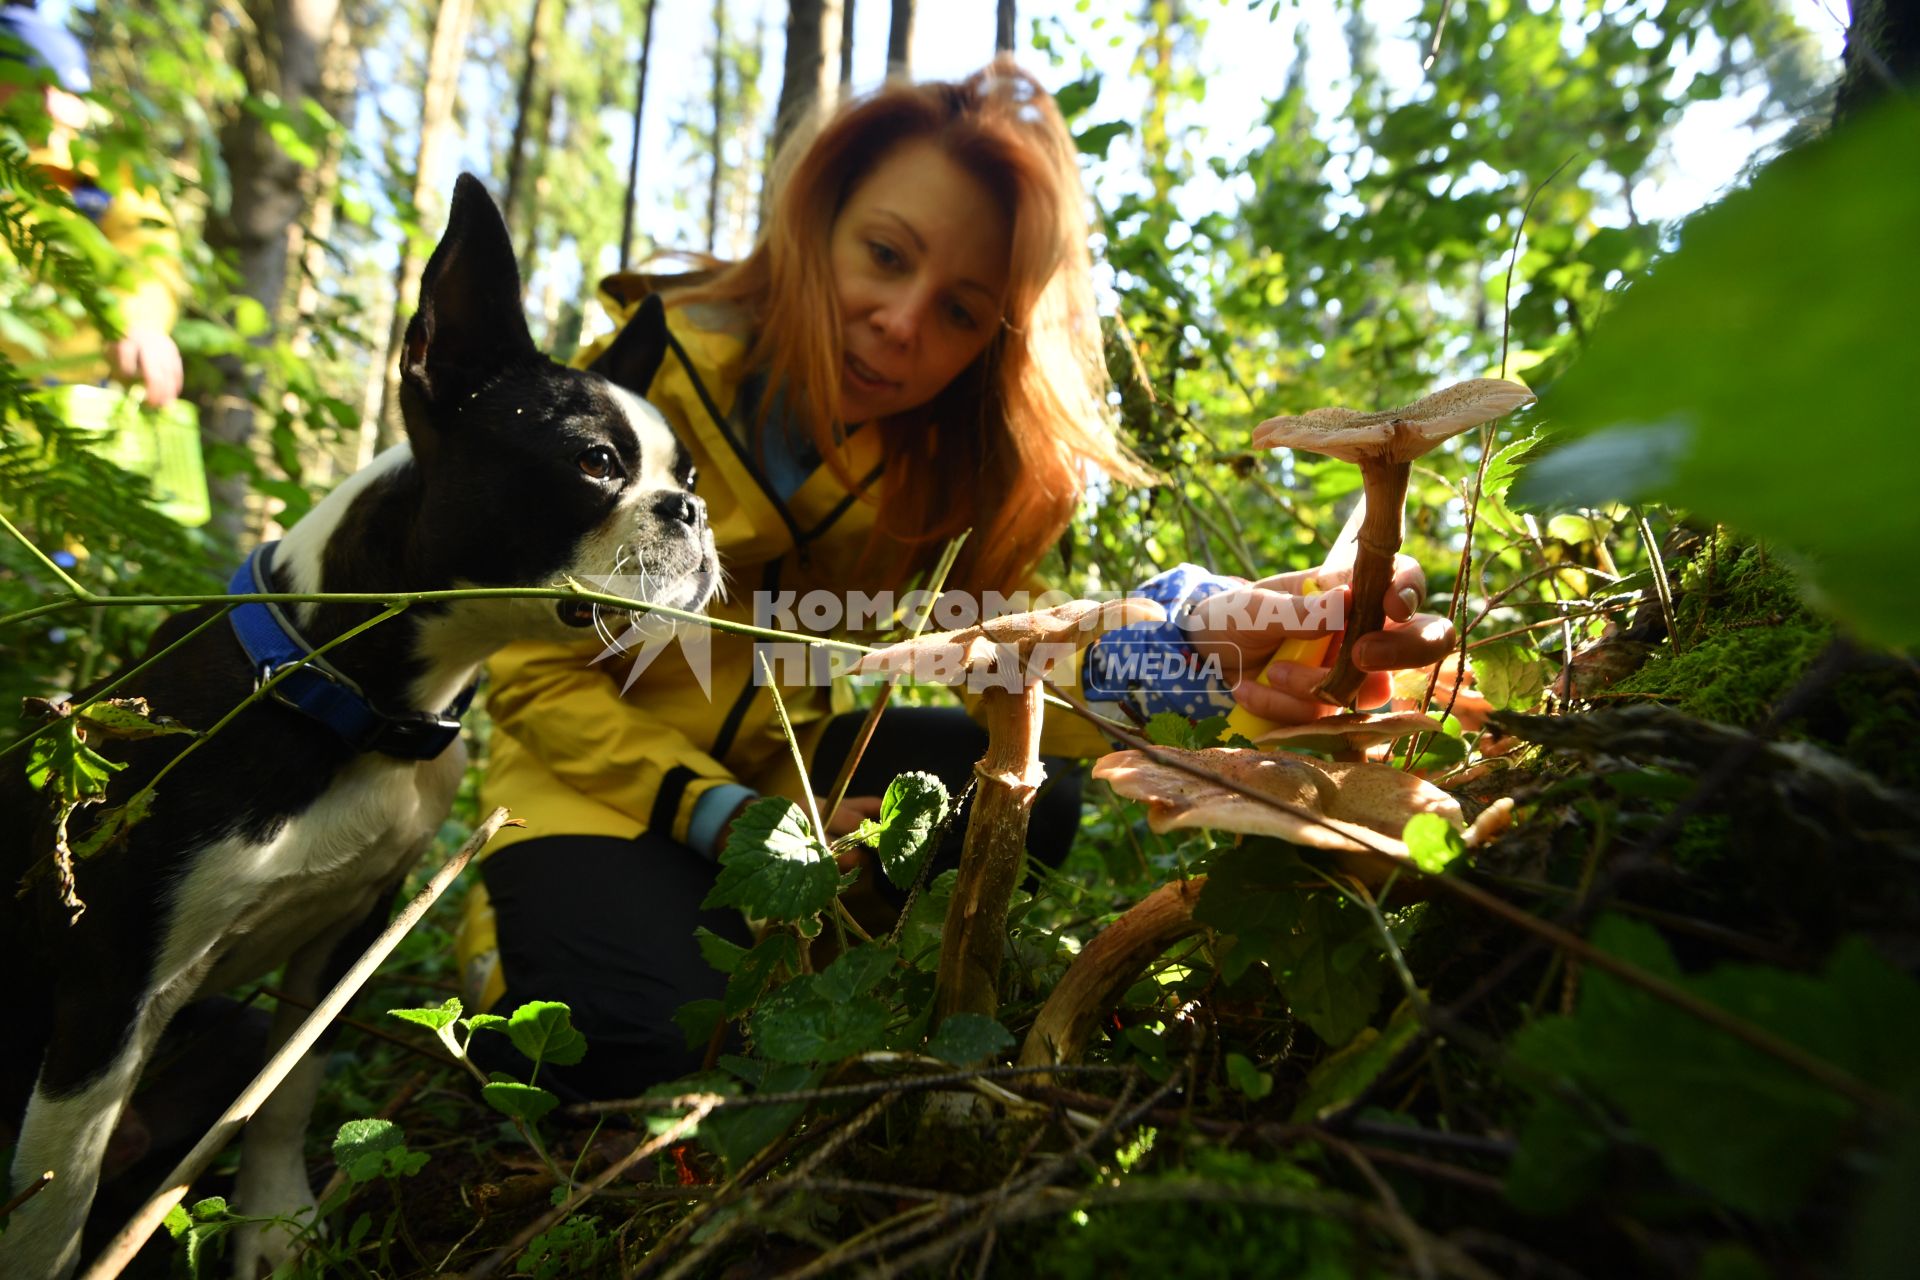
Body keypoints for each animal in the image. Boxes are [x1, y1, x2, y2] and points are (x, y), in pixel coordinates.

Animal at [0, 175, 721, 1274]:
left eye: (688, 473)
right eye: (596, 462)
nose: (693, 512)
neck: (351, 693)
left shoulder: (348, 932)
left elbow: (289, 1089)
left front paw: (275, 1223)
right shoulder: (107, 995)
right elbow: (51, 1208)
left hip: (220, 1033)